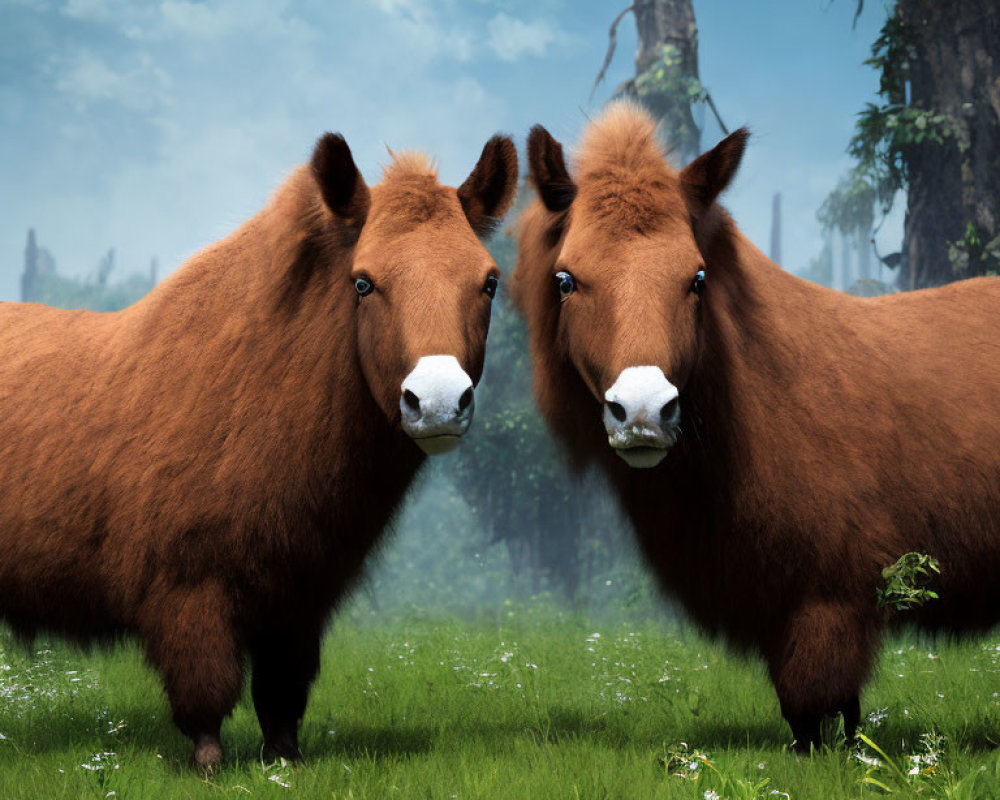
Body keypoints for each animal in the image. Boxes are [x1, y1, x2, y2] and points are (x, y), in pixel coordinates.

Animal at [0, 131, 516, 768]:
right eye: (363, 282)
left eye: (489, 281)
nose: (440, 401)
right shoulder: (189, 593)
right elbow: (206, 701)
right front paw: (210, 765)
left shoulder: (298, 601)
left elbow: (281, 700)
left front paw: (284, 762)